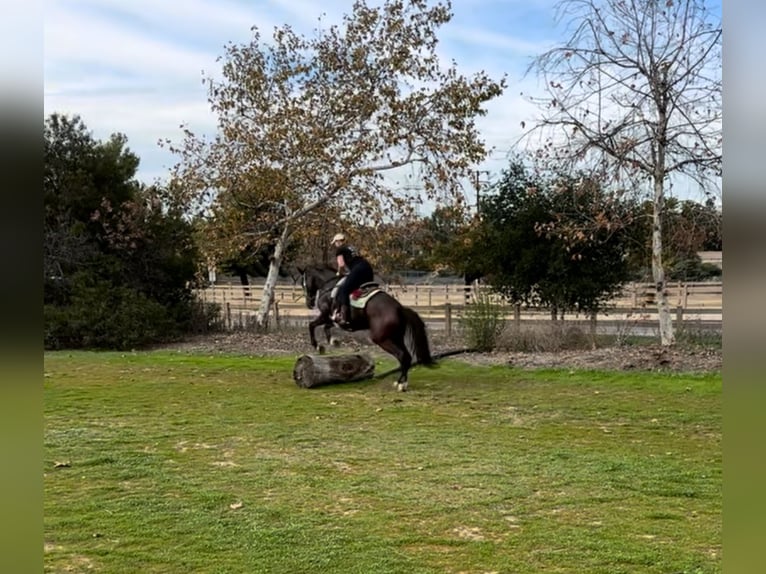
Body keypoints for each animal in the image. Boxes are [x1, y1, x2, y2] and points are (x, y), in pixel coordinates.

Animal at [300, 266, 436, 392]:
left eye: (304, 284)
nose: (309, 304)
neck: (330, 287)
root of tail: (400, 308)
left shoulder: (325, 315)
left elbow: (312, 325)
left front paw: (318, 346)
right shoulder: (333, 319)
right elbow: (326, 327)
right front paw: (334, 341)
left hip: (382, 339)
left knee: (402, 356)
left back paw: (401, 384)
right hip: (396, 337)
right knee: (407, 357)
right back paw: (401, 382)